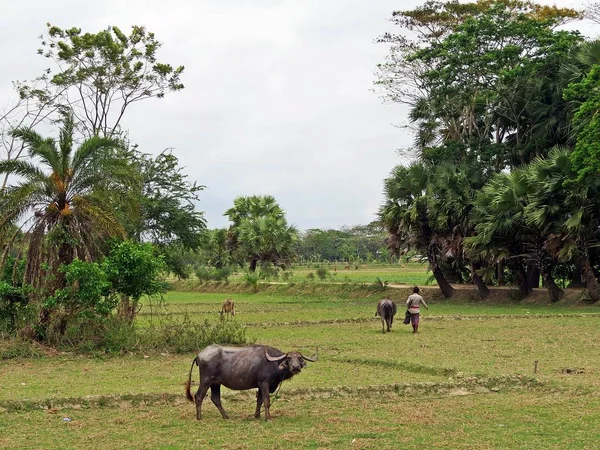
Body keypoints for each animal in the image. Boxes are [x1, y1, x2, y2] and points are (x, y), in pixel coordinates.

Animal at [185, 344, 318, 422]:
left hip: (216, 383)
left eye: (300, 358)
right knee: (199, 396)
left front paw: (257, 415)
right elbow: (266, 400)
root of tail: (199, 355)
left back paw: (226, 416)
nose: (295, 367)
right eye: (289, 358)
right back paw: (199, 417)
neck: (274, 363)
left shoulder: (260, 385)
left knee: (215, 398)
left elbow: (259, 400)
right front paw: (268, 418)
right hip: (206, 381)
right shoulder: (264, 383)